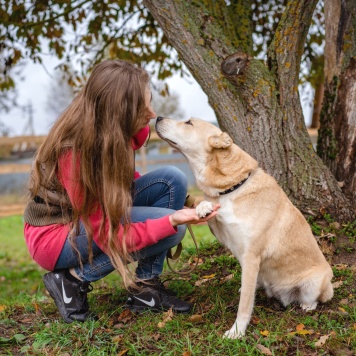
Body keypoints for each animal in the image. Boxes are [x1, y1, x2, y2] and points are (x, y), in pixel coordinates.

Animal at [156, 117, 334, 340]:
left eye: (188, 122)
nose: (157, 118)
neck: (232, 189)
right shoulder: (224, 234)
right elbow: (209, 209)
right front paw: (203, 206)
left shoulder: (251, 256)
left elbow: (244, 306)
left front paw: (237, 332)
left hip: (317, 281)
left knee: (315, 298)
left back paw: (306, 305)